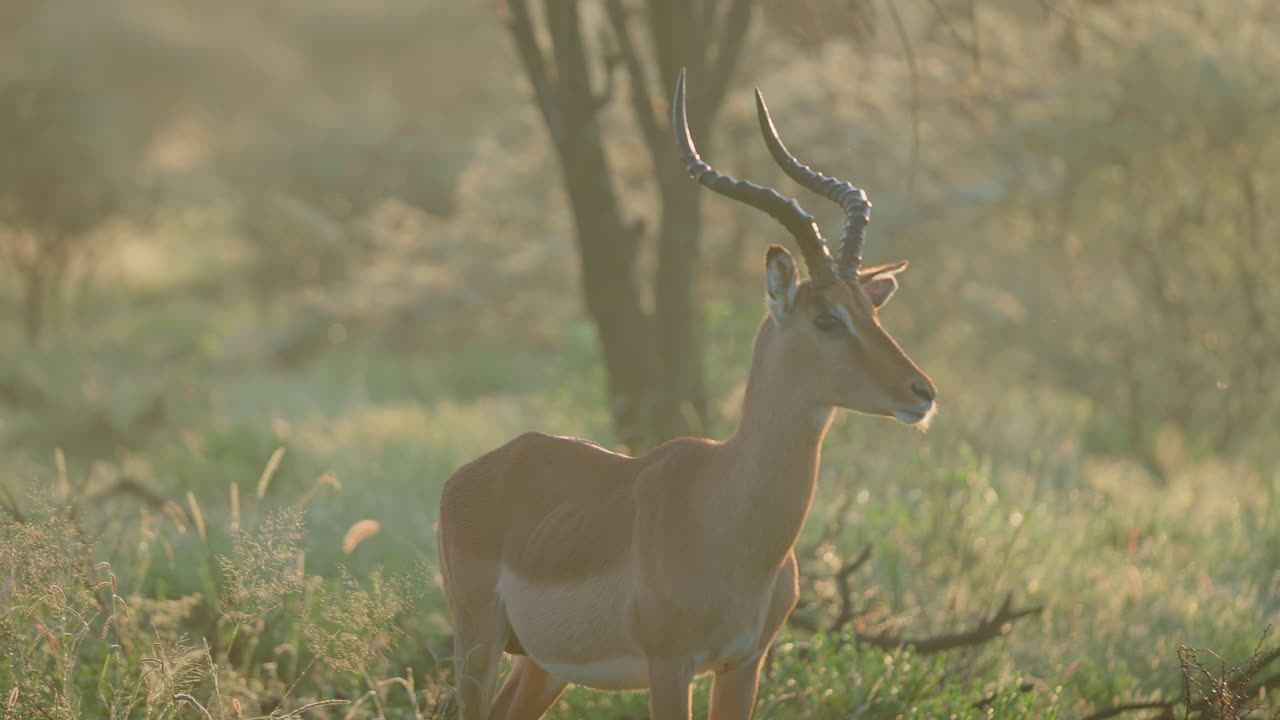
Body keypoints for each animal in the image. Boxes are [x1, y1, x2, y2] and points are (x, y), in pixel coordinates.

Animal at [438, 70, 937, 720]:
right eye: (827, 319)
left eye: (871, 312)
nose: (922, 391)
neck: (727, 512)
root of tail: (475, 471)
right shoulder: (670, 667)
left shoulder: (744, 664)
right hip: (477, 641)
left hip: (540, 667)